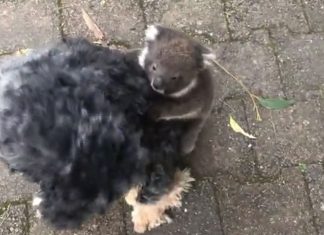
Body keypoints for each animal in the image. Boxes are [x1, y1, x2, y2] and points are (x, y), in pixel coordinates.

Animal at [138, 24, 216, 155]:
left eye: (174, 77)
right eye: (154, 67)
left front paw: (152, 113)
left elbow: (176, 108)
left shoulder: (194, 98)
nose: (157, 84)